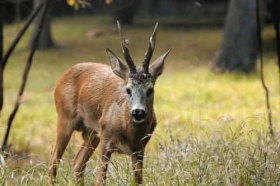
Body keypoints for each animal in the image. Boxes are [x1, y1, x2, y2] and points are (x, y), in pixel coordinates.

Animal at [48, 21, 171, 185]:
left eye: (150, 89)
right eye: (128, 89)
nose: (138, 112)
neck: (130, 133)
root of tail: (64, 75)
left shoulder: (140, 148)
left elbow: (138, 181)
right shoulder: (106, 139)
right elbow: (100, 180)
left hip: (92, 132)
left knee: (77, 163)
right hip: (65, 117)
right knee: (54, 161)